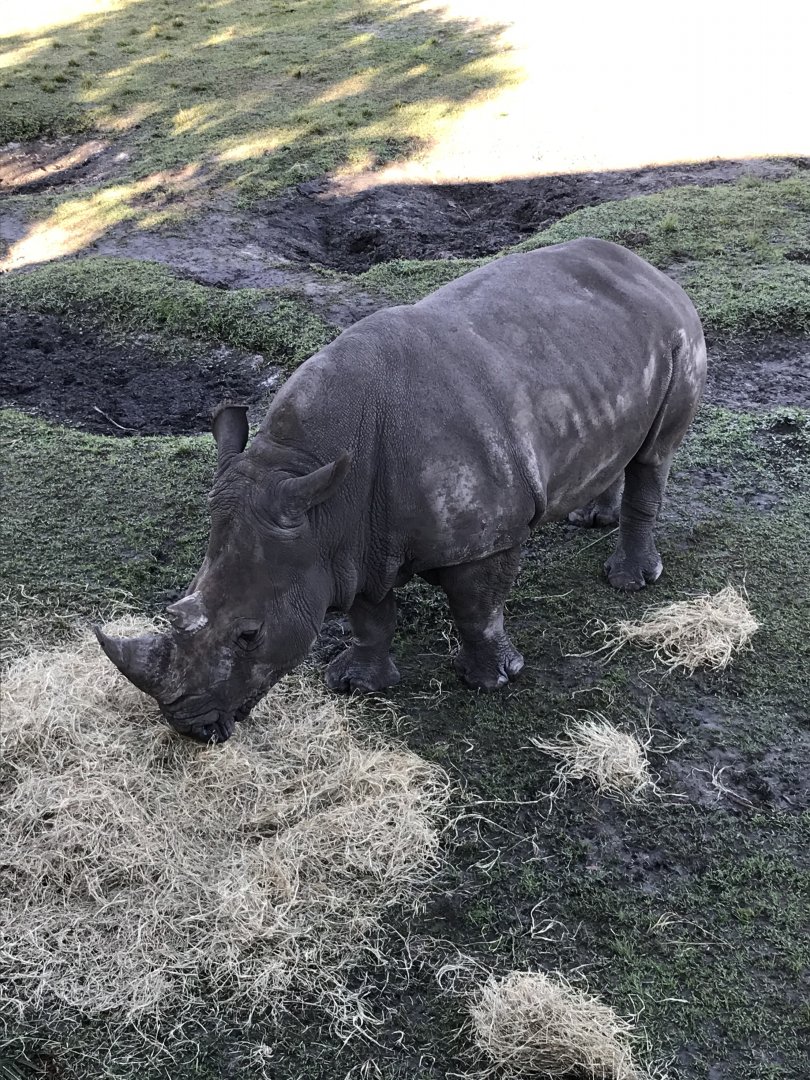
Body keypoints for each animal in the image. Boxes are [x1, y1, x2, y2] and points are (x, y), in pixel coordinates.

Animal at [96, 238, 706, 742]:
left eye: (249, 635)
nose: (190, 728)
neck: (308, 477)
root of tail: (649, 270)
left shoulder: (484, 538)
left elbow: (477, 608)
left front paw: (490, 682)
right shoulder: (348, 537)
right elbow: (369, 614)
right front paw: (357, 684)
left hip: (677, 337)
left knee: (654, 456)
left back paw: (629, 581)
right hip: (596, 353)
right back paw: (590, 519)